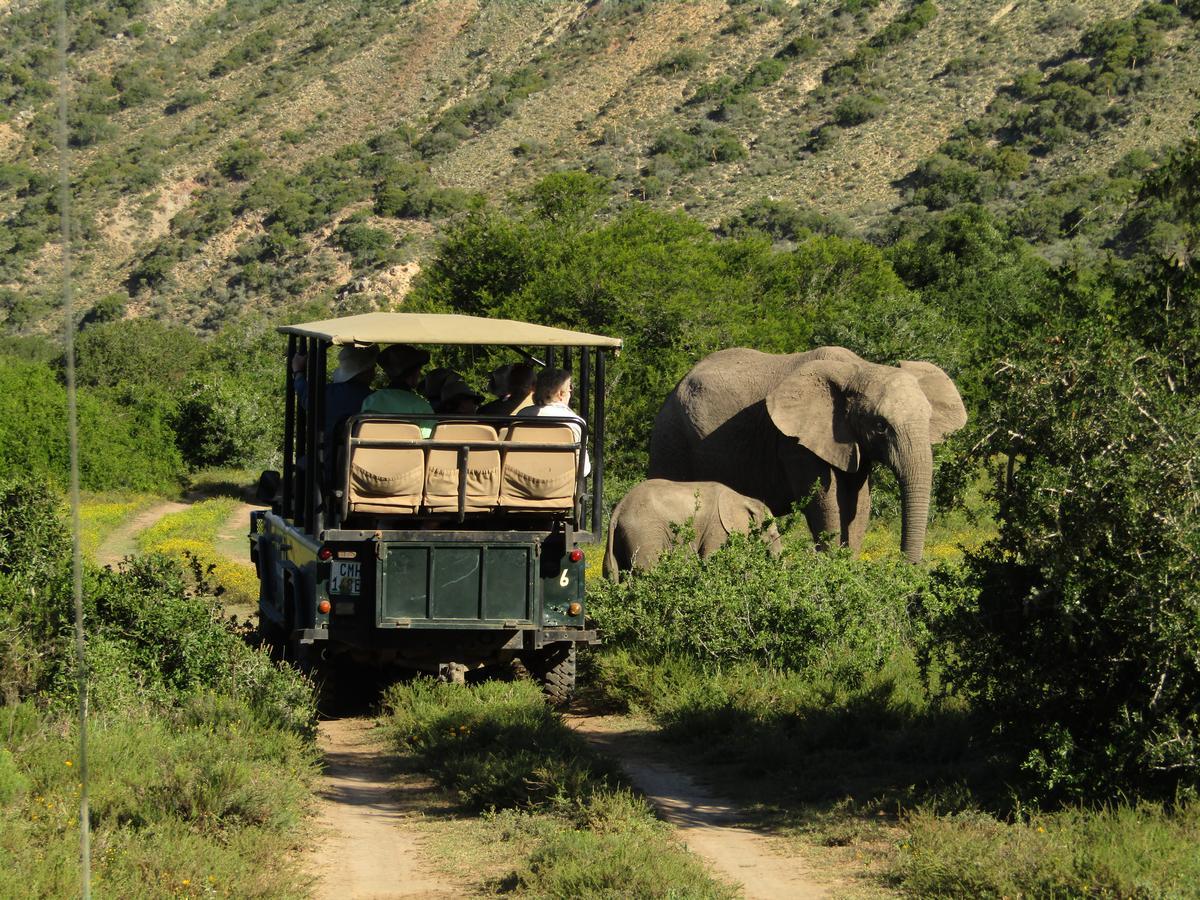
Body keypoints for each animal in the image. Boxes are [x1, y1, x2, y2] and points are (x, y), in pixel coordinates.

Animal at [604, 480, 782, 578]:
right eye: (773, 535)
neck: (744, 498)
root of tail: (619, 508)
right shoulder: (718, 528)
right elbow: (711, 559)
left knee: (612, 572)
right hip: (644, 532)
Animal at [648, 348, 964, 564]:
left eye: (928, 419)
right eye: (880, 426)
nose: (908, 568)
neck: (860, 369)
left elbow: (859, 503)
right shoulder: (795, 443)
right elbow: (825, 501)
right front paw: (834, 570)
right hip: (671, 437)